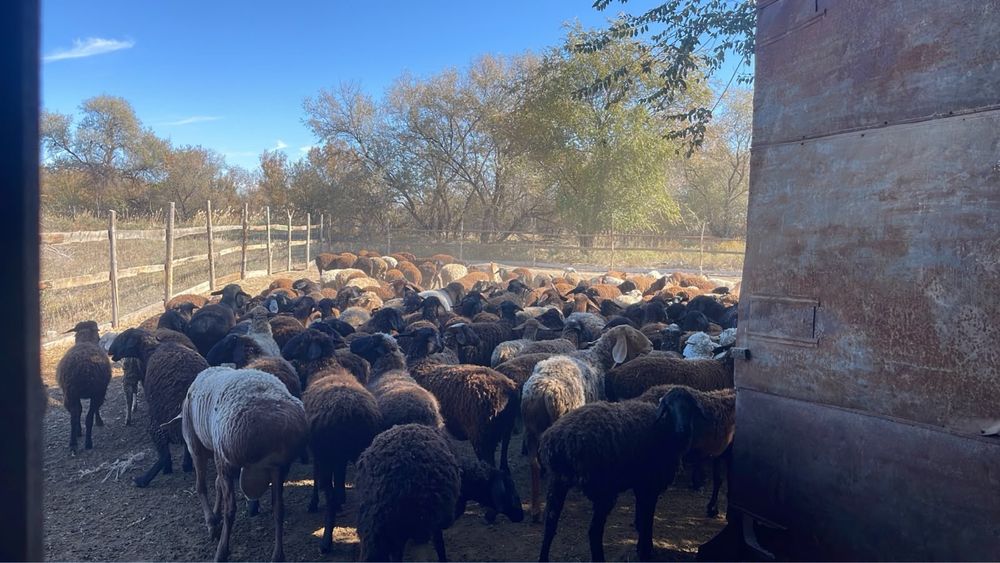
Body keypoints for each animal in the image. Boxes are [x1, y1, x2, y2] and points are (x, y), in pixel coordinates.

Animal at [56, 321, 112, 453]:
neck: (85, 341)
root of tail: (83, 369)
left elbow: (79, 412)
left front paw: (78, 431)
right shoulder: (100, 393)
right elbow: (94, 410)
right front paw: (99, 421)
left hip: (70, 394)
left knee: (74, 416)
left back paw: (73, 443)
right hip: (94, 394)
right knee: (88, 417)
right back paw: (88, 443)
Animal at [109, 328, 209, 487]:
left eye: (124, 338)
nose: (110, 351)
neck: (152, 348)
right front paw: (186, 465)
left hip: (160, 425)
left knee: (165, 455)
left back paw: (143, 479)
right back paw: (187, 465)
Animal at [302, 367, 381, 553]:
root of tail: (349, 412)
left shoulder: (320, 454)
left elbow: (318, 478)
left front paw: (313, 503)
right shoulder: (338, 458)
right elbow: (339, 478)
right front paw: (341, 499)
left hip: (328, 454)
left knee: (329, 496)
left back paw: (326, 542)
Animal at [521, 325, 652, 522]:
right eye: (633, 335)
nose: (651, 345)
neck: (597, 359)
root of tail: (543, 390)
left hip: (531, 428)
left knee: (534, 464)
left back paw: (536, 510)